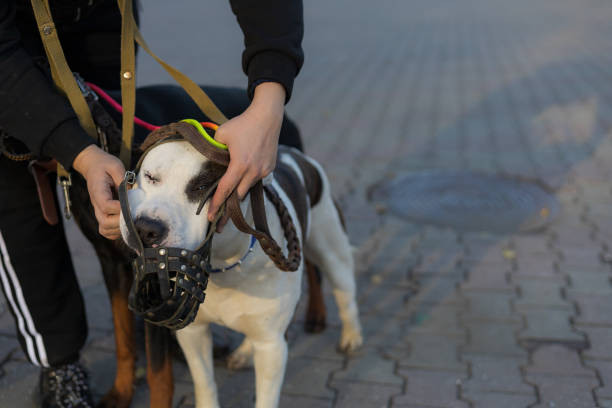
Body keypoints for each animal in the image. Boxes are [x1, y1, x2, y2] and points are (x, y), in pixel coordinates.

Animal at [118, 139, 364, 406]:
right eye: (150, 177)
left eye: (202, 187)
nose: (146, 228)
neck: (223, 262)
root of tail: (293, 153)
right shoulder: (193, 332)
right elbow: (204, 381)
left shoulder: (272, 346)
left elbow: (265, 399)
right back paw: (245, 353)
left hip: (332, 249)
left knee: (345, 294)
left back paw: (352, 336)